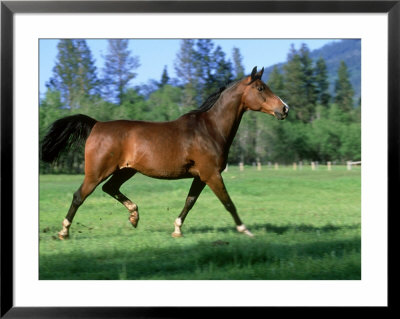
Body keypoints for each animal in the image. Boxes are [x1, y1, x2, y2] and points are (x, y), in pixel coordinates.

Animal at [41, 65, 288, 240]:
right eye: (260, 88)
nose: (284, 109)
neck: (210, 129)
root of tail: (97, 124)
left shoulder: (201, 176)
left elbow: (190, 202)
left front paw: (177, 229)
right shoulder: (212, 174)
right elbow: (228, 203)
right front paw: (245, 230)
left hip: (125, 171)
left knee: (110, 188)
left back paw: (134, 216)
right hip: (97, 172)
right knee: (79, 196)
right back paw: (64, 232)